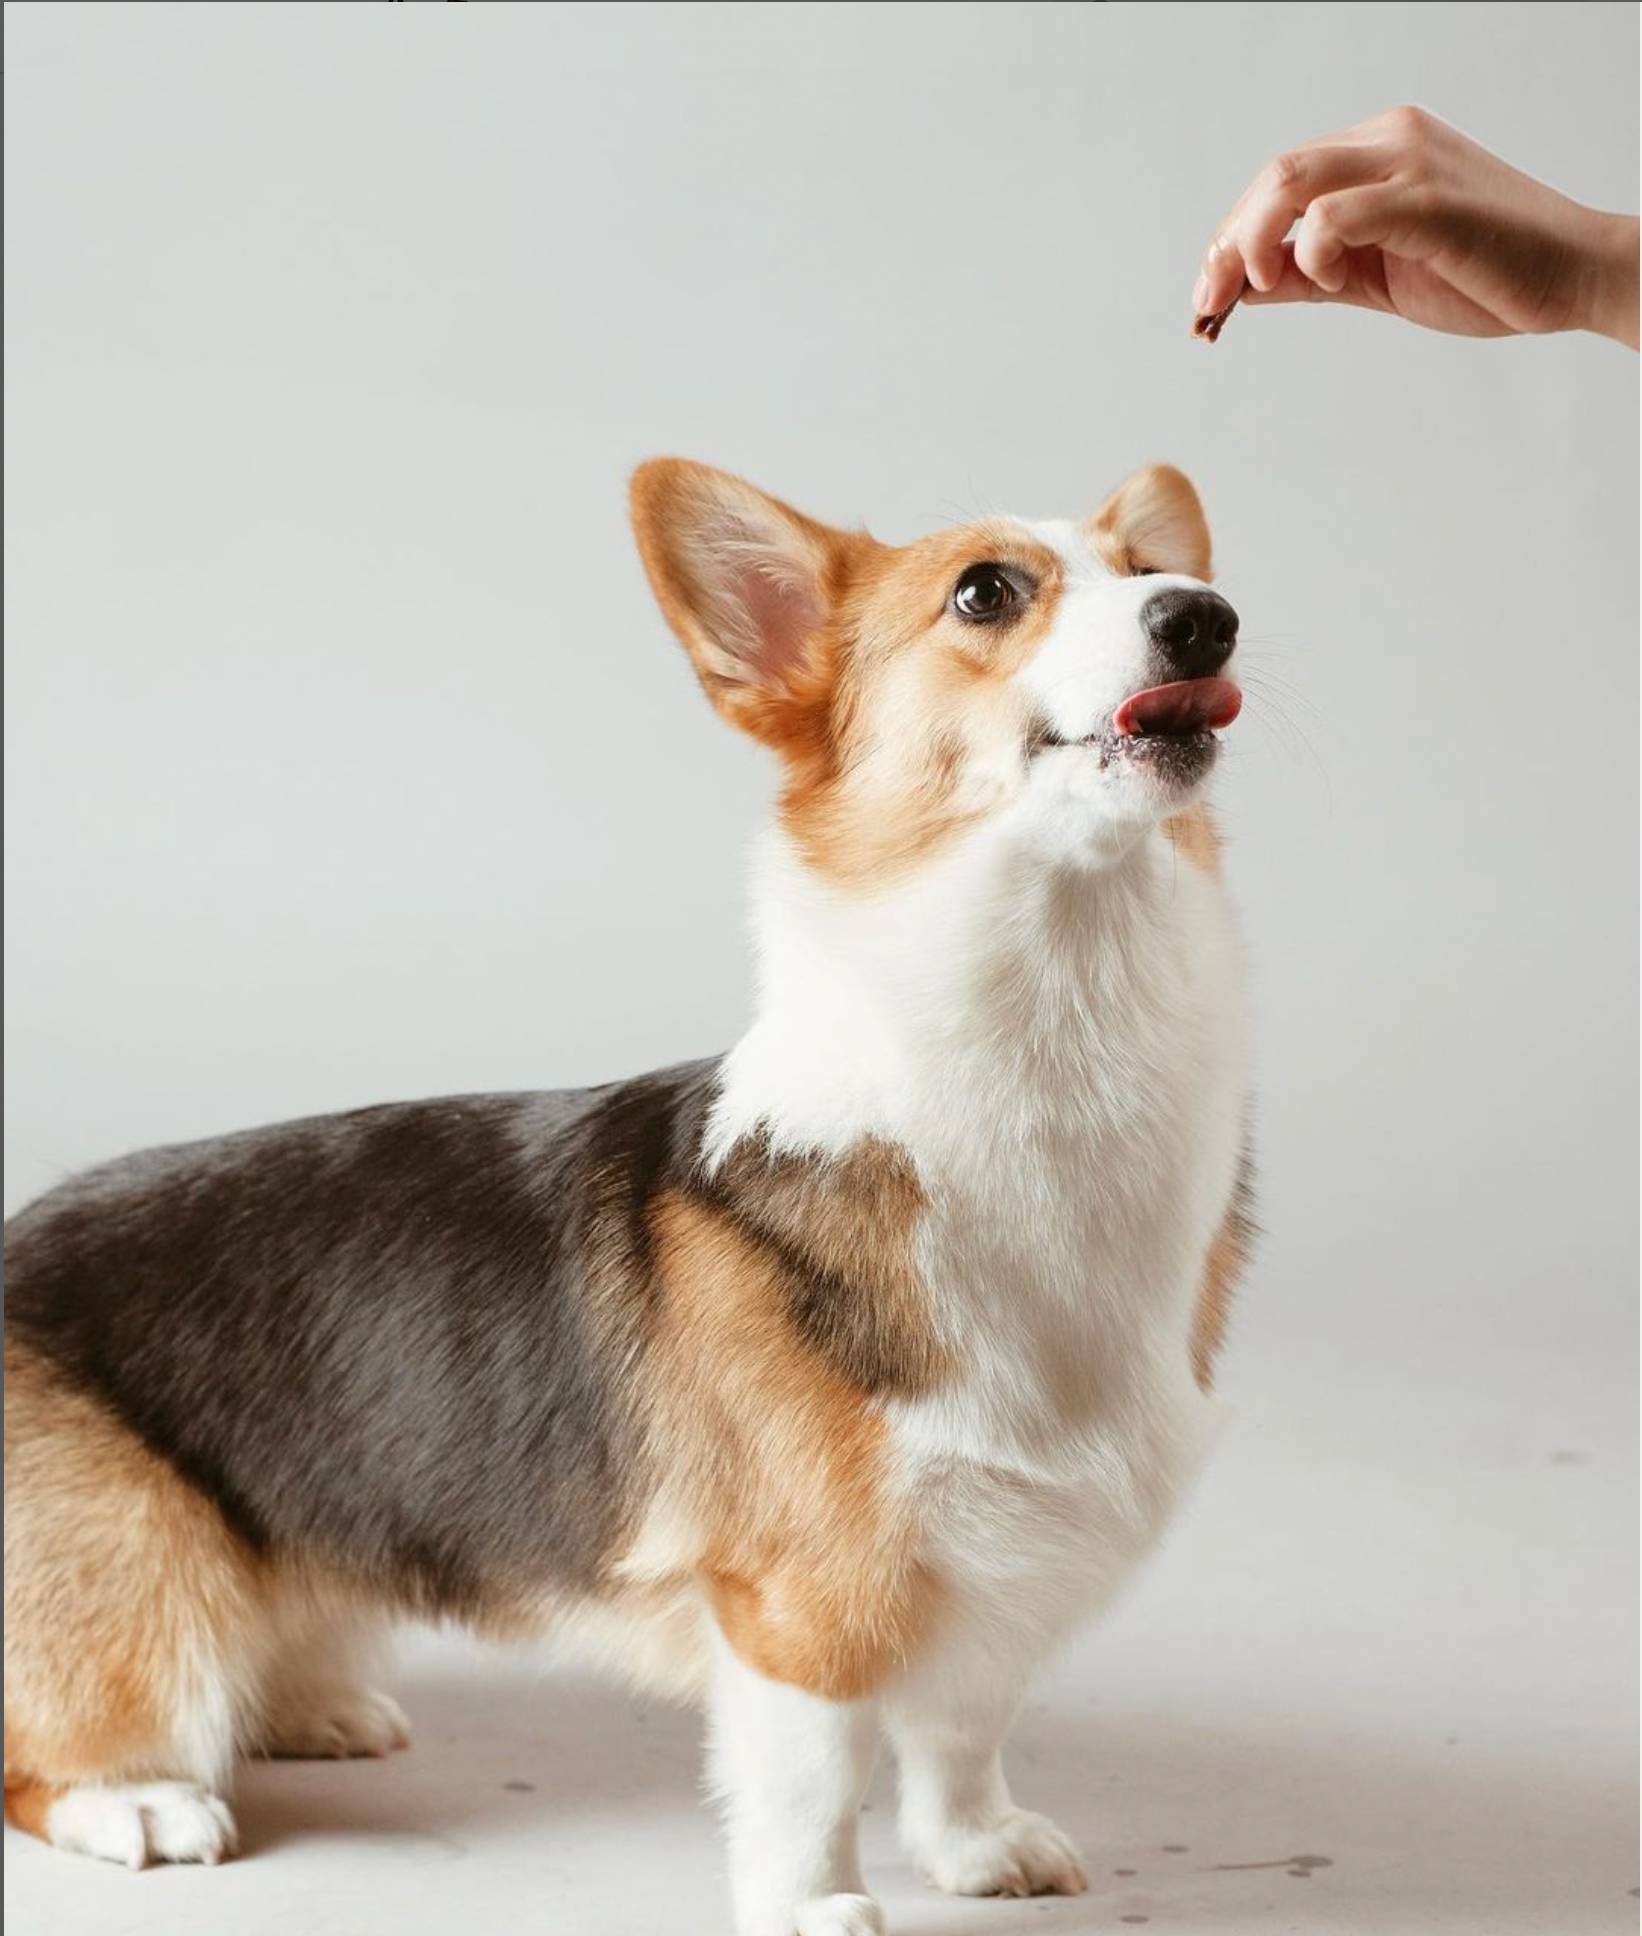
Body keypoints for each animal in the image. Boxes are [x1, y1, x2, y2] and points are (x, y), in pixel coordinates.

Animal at [4, 457, 1253, 1936]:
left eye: (1146, 569)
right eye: (986, 592)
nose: (1206, 618)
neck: (1053, 1037)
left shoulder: (992, 1576)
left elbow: (960, 1734)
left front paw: (978, 1849)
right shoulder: (800, 1600)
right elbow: (812, 1780)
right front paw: (816, 1908)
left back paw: (313, 1708)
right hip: (144, 1583)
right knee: (48, 1749)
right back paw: (137, 1799)